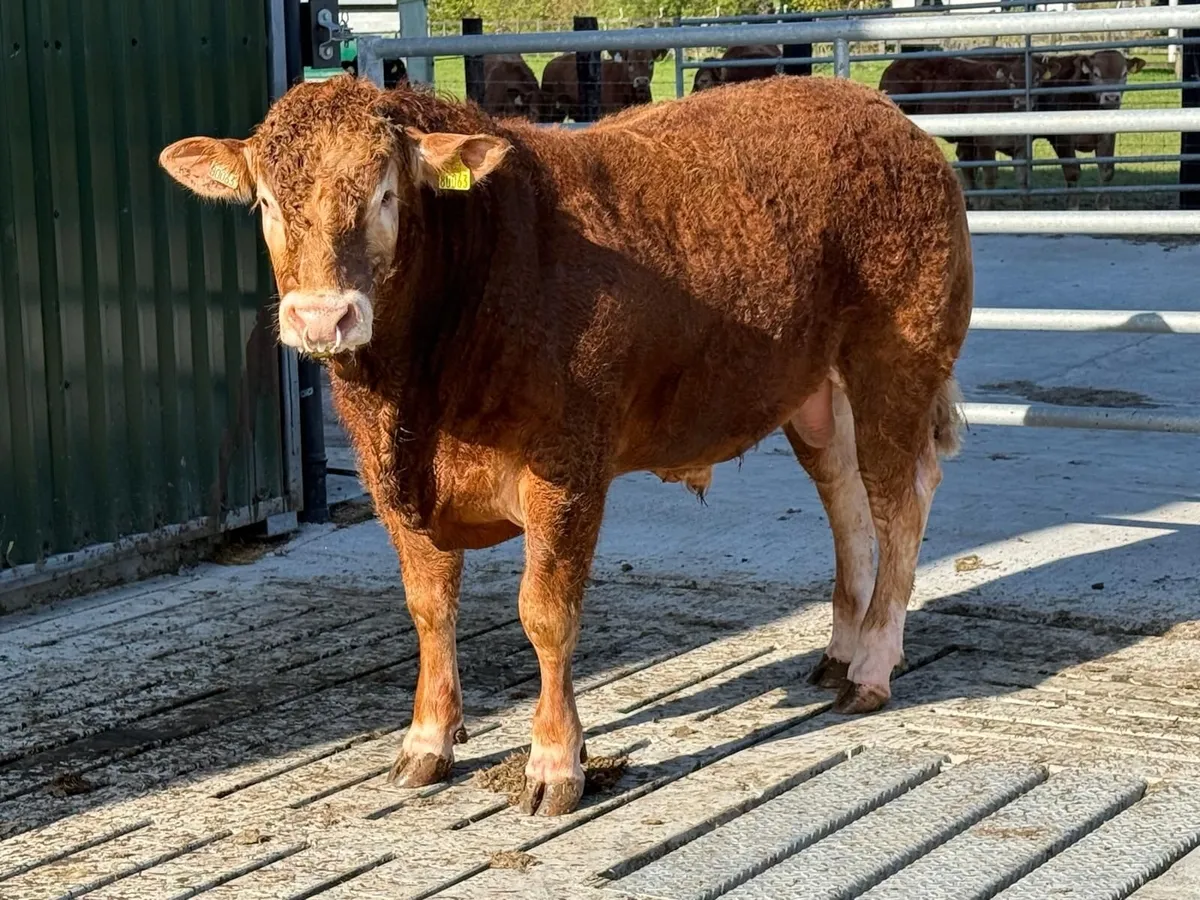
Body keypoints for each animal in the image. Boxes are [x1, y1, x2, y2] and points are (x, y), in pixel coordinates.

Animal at [158, 73, 972, 817]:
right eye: (267, 203)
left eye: (387, 194)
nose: (323, 318)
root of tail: (881, 112)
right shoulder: (393, 481)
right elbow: (429, 608)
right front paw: (426, 740)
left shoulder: (567, 466)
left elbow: (545, 613)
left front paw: (555, 762)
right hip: (815, 394)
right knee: (846, 499)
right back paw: (842, 647)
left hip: (896, 362)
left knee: (901, 498)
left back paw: (871, 665)